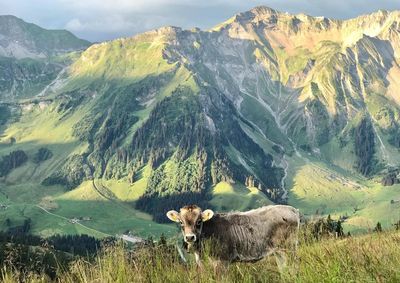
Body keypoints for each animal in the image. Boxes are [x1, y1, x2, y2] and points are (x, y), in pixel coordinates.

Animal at [166, 204, 300, 266]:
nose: (189, 237)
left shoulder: (222, 261)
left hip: (289, 249)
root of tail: (292, 209)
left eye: (199, 221)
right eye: (181, 222)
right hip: (279, 252)